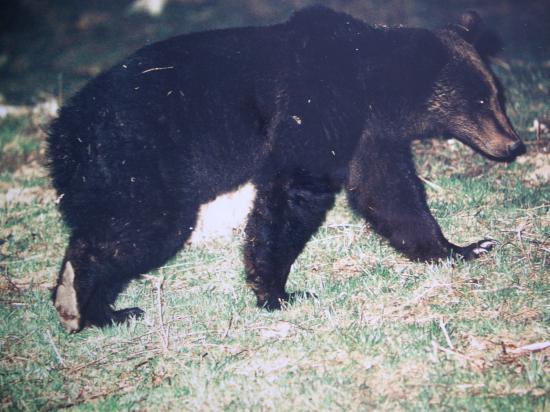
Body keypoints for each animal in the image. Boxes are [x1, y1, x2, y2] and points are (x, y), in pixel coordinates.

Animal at [48, 6, 528, 334]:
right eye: (480, 100)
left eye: (497, 94)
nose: (513, 144)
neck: (368, 85)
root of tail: (63, 131)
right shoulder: (314, 103)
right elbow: (295, 189)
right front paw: (277, 291)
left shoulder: (366, 134)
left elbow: (389, 193)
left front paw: (464, 247)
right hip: (139, 157)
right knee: (142, 229)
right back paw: (82, 302)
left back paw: (100, 307)